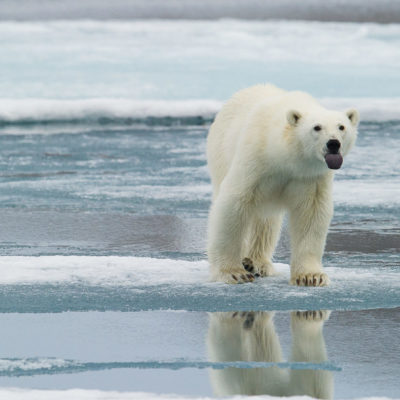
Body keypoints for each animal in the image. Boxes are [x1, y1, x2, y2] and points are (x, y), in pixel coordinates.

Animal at [206, 83, 360, 284]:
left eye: (341, 126)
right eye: (316, 127)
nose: (333, 143)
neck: (285, 157)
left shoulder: (311, 177)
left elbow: (311, 213)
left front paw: (311, 276)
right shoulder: (255, 160)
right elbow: (234, 202)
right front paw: (233, 272)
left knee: (265, 223)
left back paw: (257, 263)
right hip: (221, 151)